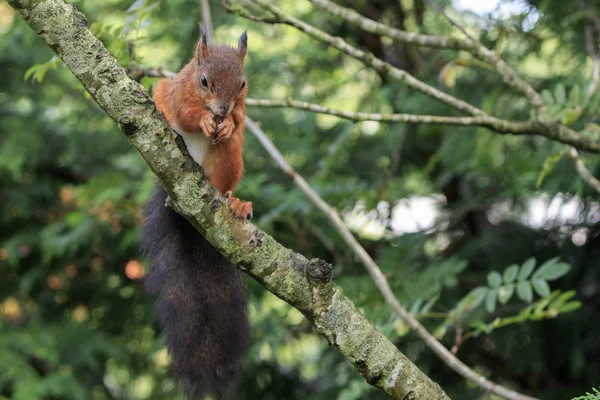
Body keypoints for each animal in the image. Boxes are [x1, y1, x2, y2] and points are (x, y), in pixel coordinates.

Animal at [141, 28, 251, 400]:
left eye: (243, 83)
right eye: (204, 81)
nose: (223, 108)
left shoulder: (243, 106)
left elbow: (240, 120)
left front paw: (229, 122)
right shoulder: (177, 90)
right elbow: (184, 111)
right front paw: (201, 119)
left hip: (229, 160)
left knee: (225, 169)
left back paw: (234, 201)